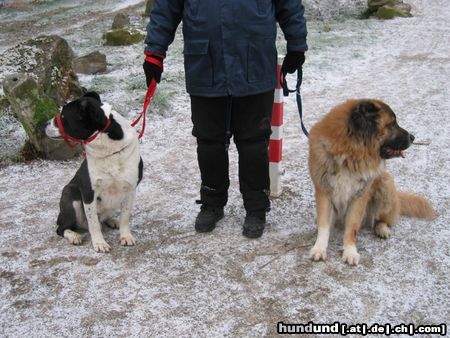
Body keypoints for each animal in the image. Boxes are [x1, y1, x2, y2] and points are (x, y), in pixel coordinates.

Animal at [44, 92, 143, 251]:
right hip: (71, 195)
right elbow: (93, 223)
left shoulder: (130, 189)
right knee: (61, 228)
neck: (109, 149)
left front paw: (125, 236)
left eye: (64, 117)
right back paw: (74, 236)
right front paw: (99, 243)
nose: (44, 124)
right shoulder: (88, 192)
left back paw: (112, 221)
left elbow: (125, 217)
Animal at [308, 99, 434, 266]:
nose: (412, 137)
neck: (350, 152)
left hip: (385, 185)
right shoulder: (324, 191)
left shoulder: (360, 195)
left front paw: (350, 251)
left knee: (382, 219)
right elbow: (323, 225)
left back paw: (382, 229)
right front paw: (319, 248)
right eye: (392, 124)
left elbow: (352, 227)